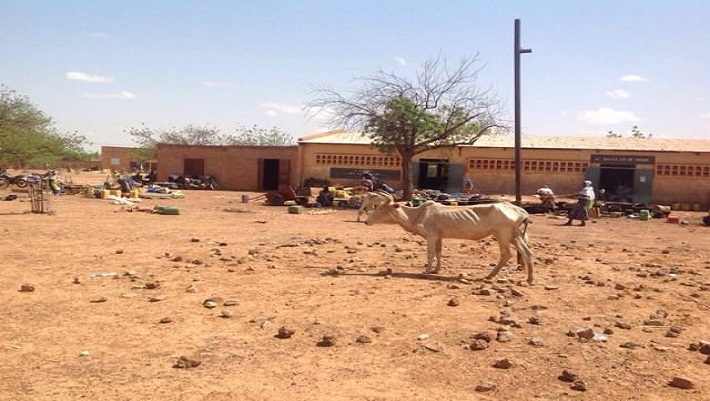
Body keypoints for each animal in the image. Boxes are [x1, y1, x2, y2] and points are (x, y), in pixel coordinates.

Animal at [365, 199, 534, 284]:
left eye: (380, 208)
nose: (367, 221)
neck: (418, 214)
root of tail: (522, 211)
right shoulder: (439, 237)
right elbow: (439, 253)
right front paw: (436, 270)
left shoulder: (431, 236)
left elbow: (430, 254)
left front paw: (427, 271)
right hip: (515, 236)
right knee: (527, 253)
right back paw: (529, 279)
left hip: (502, 235)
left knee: (506, 254)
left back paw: (490, 276)